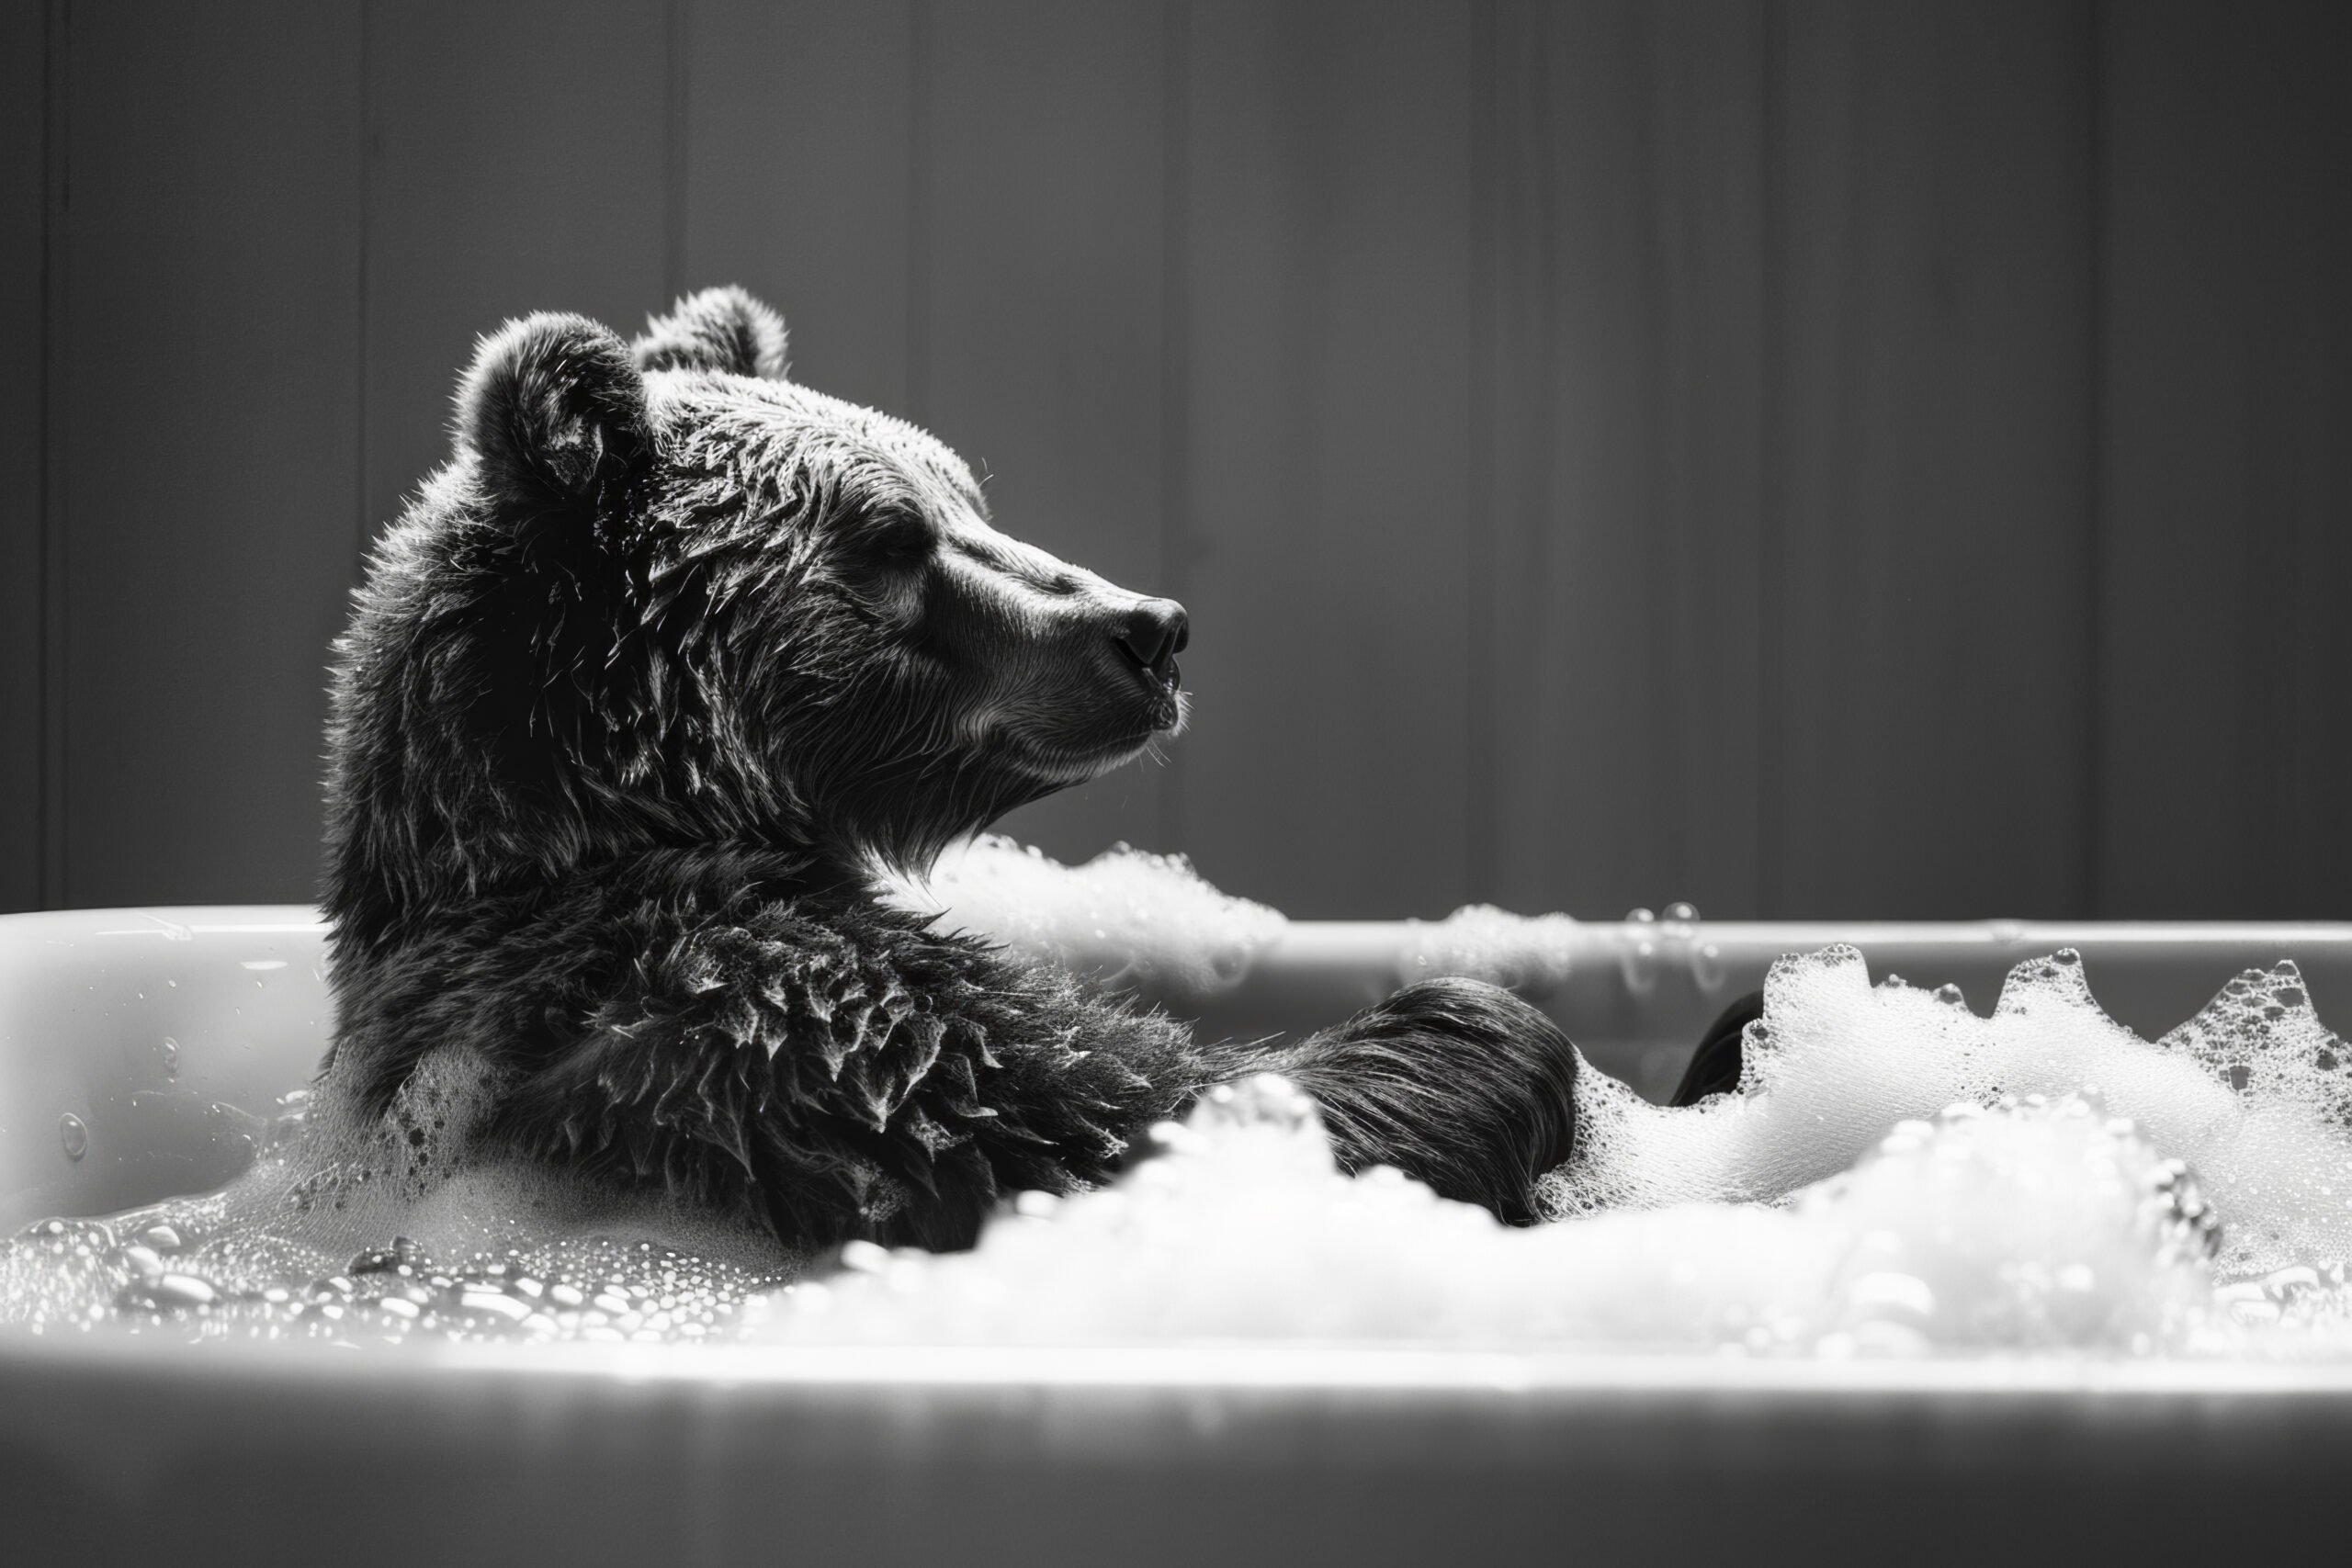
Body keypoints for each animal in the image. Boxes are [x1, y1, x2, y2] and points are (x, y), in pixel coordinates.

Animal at [311, 286, 1580, 1260]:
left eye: (965, 499)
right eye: (887, 540)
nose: (1151, 629)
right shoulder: (755, 1018)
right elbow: (1101, 1117)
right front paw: (1472, 1032)